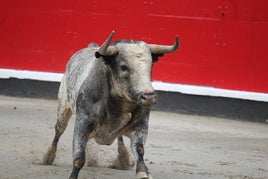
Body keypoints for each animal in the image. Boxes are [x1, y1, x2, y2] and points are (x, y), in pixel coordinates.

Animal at [42, 31, 179, 178]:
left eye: (150, 66)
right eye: (124, 67)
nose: (149, 97)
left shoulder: (141, 125)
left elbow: (139, 149)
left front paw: (142, 173)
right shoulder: (82, 123)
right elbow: (79, 158)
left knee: (119, 138)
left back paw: (124, 159)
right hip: (63, 107)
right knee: (58, 130)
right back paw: (47, 158)